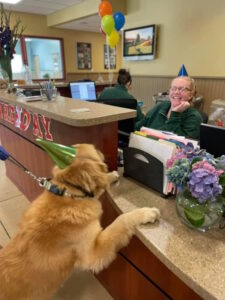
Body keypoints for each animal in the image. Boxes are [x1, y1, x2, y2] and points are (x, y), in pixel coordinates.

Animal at [0, 144, 160, 300]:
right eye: (94, 149)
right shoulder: (94, 253)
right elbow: (121, 219)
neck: (69, 195)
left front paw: (112, 175)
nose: (102, 152)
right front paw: (146, 213)